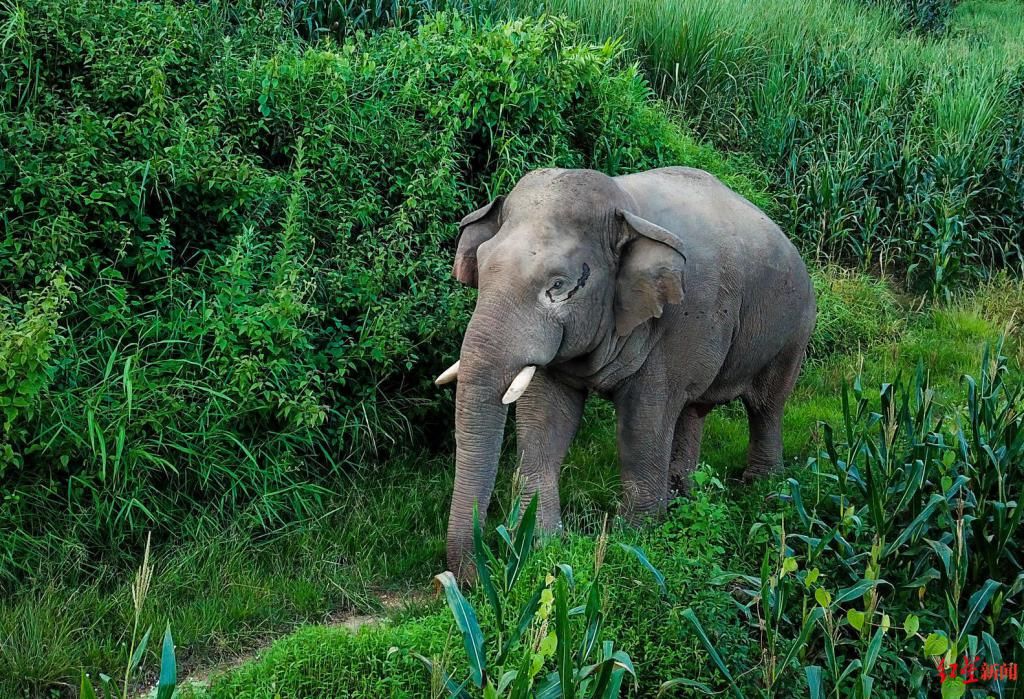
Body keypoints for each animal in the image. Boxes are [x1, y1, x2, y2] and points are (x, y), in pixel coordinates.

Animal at [434, 165, 815, 581]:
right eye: (482, 267)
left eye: (558, 285)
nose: (467, 580)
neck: (624, 206)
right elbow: (543, 420)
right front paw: (542, 545)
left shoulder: (678, 322)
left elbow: (643, 423)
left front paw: (633, 541)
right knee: (692, 408)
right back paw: (683, 496)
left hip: (793, 326)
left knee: (766, 405)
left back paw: (763, 487)